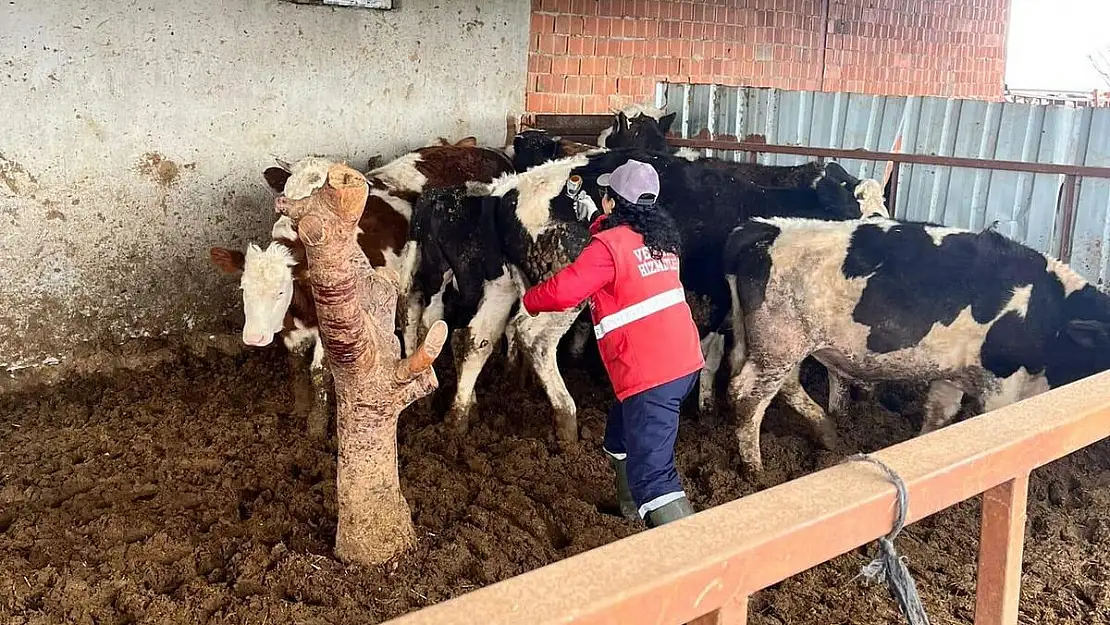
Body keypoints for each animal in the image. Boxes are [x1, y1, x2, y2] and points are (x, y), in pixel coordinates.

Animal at [209, 144, 512, 437]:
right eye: (244, 288)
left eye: (280, 292)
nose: (254, 337)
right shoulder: (290, 327)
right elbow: (294, 365)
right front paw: (299, 408)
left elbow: (318, 372)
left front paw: (316, 427)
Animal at [408, 148, 883, 444]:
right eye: (854, 207)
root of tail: (506, 191)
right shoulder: (717, 297)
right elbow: (723, 358)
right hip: (563, 288)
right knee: (533, 338)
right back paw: (567, 419)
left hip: (502, 283)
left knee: (476, 339)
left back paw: (458, 418)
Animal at [719, 217, 1110, 472]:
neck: (1051, 309)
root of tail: (768, 227)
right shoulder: (1001, 383)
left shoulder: (952, 374)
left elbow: (938, 418)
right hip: (778, 344)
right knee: (748, 397)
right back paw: (756, 471)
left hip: (783, 344)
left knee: (784, 386)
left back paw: (827, 434)